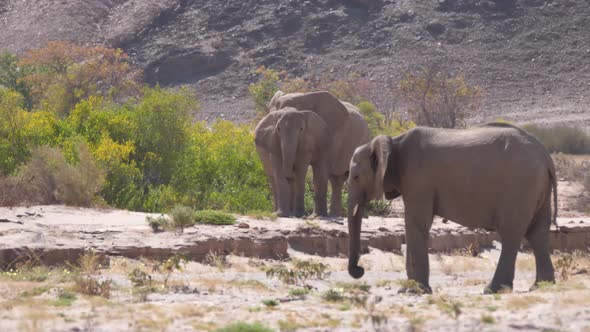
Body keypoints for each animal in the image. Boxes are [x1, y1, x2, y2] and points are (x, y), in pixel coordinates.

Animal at [346, 123, 560, 294]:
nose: (360, 270)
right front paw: (408, 290)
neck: (393, 142)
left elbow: (416, 224)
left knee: (511, 233)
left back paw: (493, 290)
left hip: (520, 185)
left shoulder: (418, 181)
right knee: (537, 232)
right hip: (537, 186)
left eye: (355, 177)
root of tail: (545, 156)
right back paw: (540, 286)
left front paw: (414, 291)